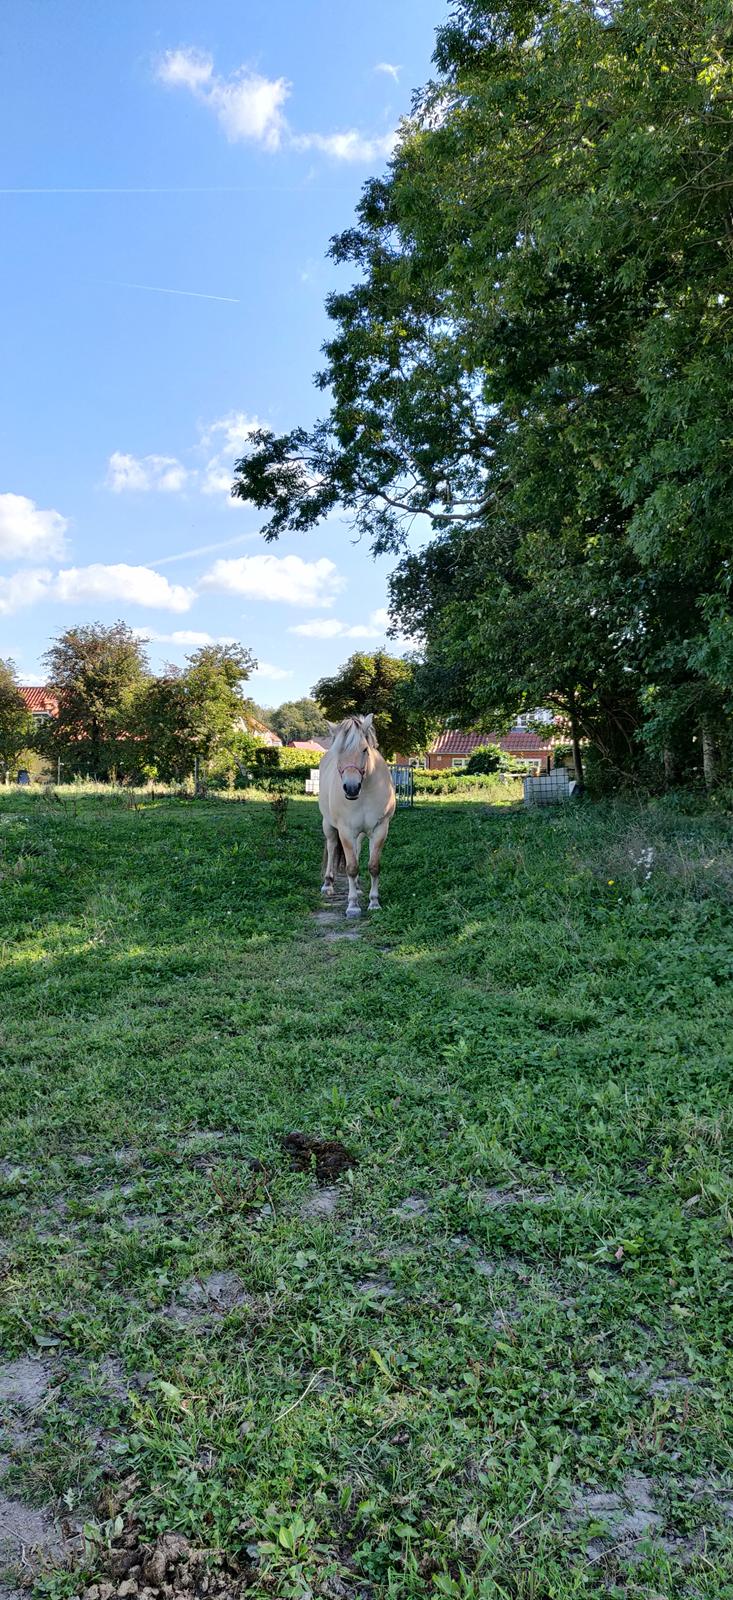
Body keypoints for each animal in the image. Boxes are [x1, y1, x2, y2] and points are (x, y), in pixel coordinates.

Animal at [318, 710, 395, 915]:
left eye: (364, 750)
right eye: (338, 751)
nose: (351, 788)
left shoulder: (380, 829)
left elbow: (373, 866)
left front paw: (374, 902)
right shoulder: (345, 831)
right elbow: (351, 867)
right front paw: (352, 906)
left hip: (359, 833)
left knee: (358, 848)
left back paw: (359, 887)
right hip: (328, 825)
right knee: (331, 846)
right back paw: (328, 884)